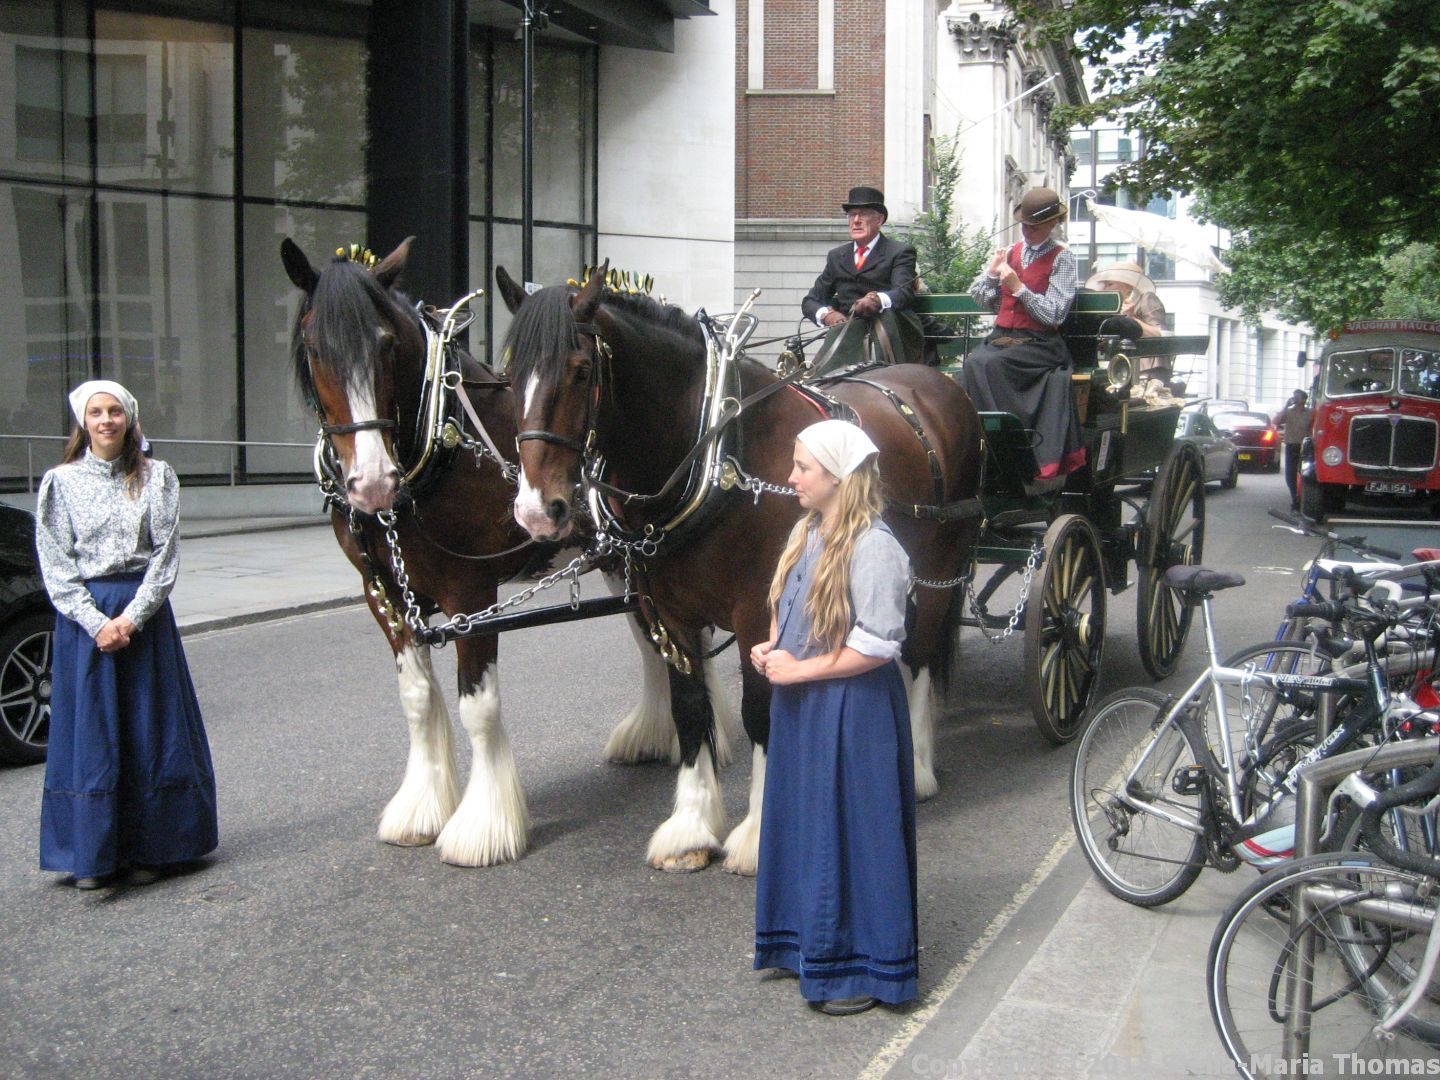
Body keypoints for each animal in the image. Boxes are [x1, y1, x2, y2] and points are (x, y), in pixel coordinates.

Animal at [279, 238, 737, 866]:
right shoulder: (384, 596)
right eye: (314, 348)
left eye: (386, 343)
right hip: (623, 561)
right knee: (653, 643)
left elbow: (478, 705)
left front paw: (483, 825)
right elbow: (417, 699)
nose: (371, 483)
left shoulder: (470, 592)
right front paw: (421, 808)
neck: (435, 447)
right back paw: (656, 734)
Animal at [495, 265, 984, 874]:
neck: (720, 454)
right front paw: (691, 828)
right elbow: (688, 709)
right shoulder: (667, 613)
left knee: (919, 652)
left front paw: (757, 834)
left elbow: (760, 712)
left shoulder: (759, 612)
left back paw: (916, 767)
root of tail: (938, 382)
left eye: (582, 371)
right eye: (508, 374)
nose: (538, 511)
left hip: (940, 564)